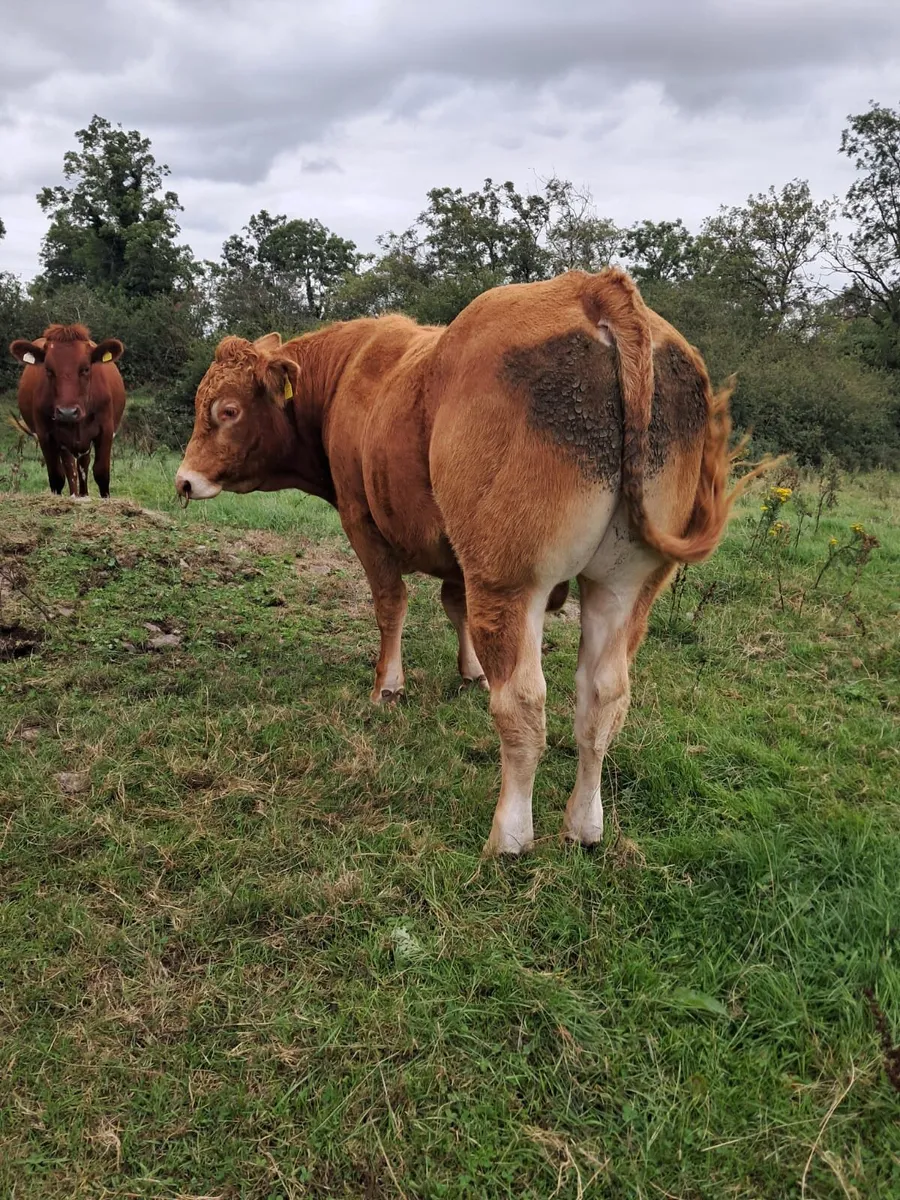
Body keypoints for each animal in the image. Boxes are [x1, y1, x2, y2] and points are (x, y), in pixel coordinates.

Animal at [9, 324, 126, 498]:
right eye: (48, 370)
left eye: (85, 369)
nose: (67, 412)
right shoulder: (45, 435)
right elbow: (57, 476)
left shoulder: (106, 430)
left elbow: (101, 473)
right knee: (71, 470)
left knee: (82, 467)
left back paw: (83, 495)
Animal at [176, 269, 759, 856]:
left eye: (227, 410)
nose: (183, 480)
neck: (352, 374)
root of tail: (594, 287)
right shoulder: (460, 555)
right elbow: (453, 605)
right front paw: (471, 670)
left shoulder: (363, 522)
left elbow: (391, 605)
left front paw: (388, 686)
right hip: (624, 586)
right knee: (603, 699)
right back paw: (584, 828)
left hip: (510, 578)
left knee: (522, 703)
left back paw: (510, 836)